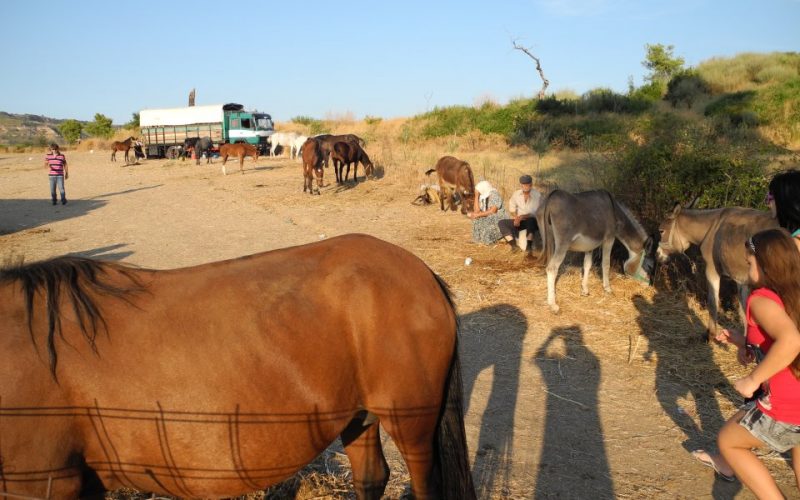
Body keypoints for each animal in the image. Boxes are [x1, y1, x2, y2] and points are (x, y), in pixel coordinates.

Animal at [656, 204, 776, 340]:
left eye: (661, 231)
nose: (657, 255)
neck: (713, 226)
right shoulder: (741, 280)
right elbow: (744, 310)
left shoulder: (711, 270)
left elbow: (712, 301)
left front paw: (710, 334)